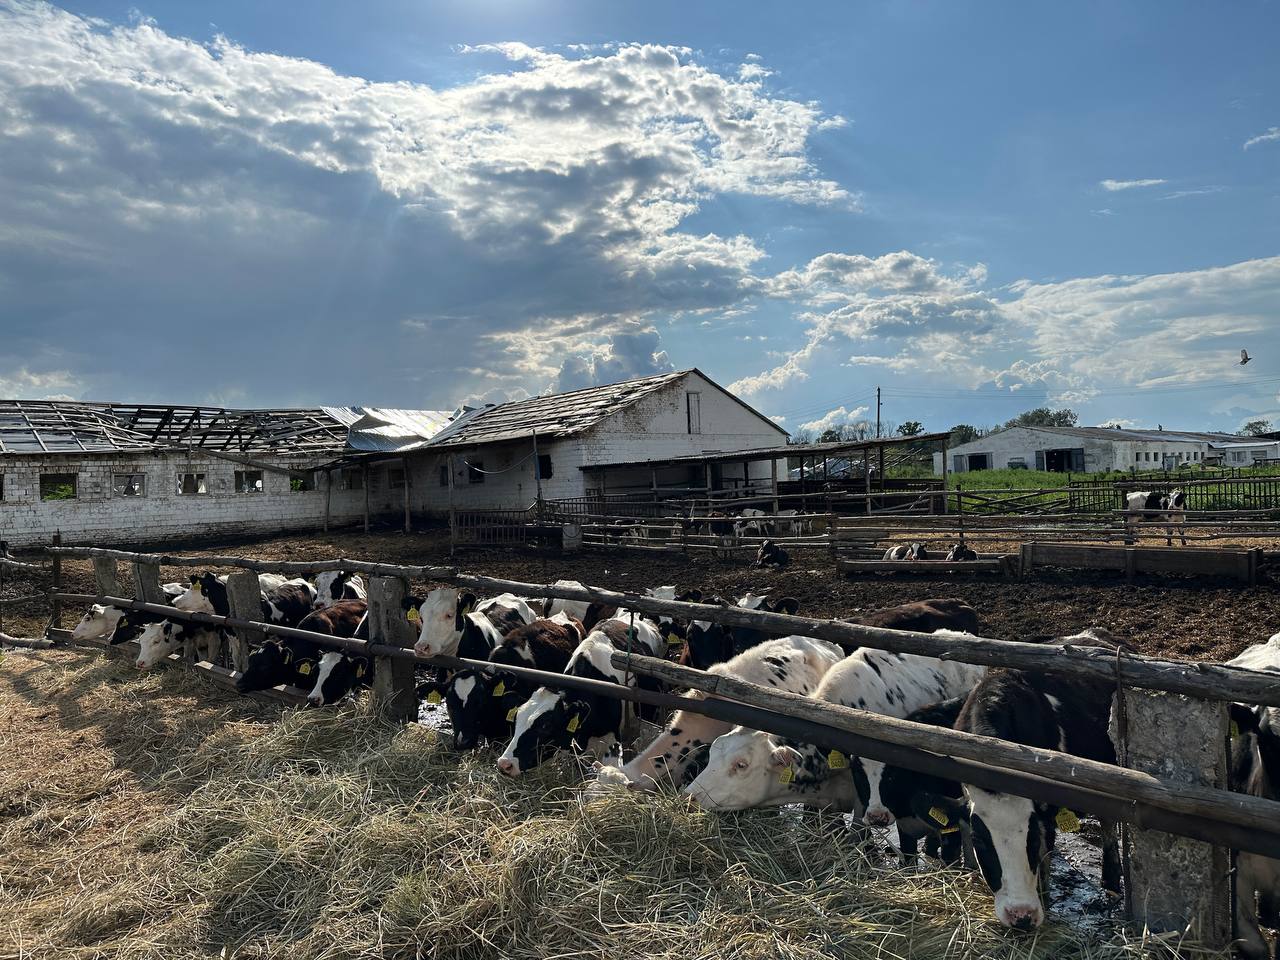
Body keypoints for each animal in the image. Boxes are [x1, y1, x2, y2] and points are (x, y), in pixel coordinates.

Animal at [916, 632, 1126, 931]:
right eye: (981, 840)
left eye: (1033, 837)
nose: (1021, 916)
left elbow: (1046, 862)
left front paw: (1045, 901)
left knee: (1108, 821)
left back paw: (1111, 880)